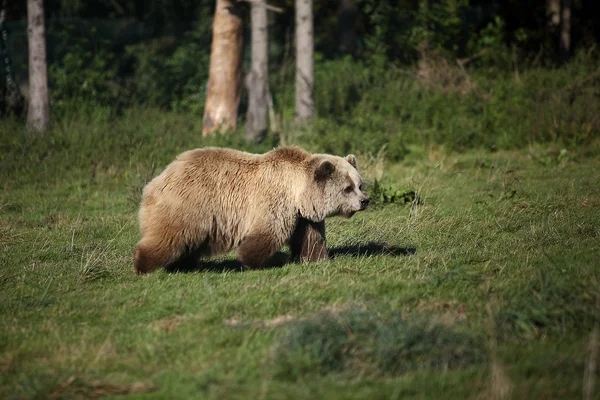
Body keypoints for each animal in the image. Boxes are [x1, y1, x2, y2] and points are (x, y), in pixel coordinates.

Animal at [135, 145, 370, 274]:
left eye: (360, 184)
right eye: (347, 188)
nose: (365, 201)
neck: (298, 191)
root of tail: (156, 181)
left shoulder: (304, 216)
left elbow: (311, 238)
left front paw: (315, 258)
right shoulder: (274, 202)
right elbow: (267, 233)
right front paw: (253, 261)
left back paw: (183, 266)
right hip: (188, 205)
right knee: (169, 237)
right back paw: (143, 264)